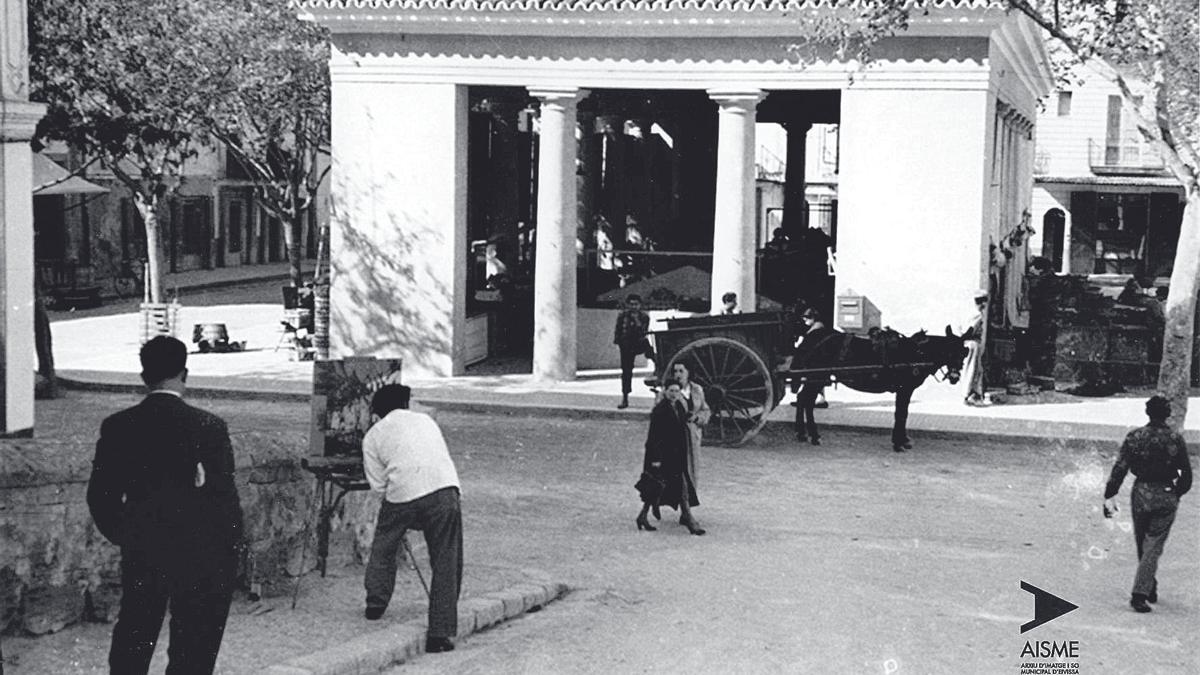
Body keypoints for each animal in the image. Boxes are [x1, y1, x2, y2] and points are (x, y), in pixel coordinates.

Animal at [792, 324, 969, 449]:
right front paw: (898, 442)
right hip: (817, 377)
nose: (955, 377)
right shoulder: (904, 389)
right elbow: (901, 414)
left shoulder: (906, 390)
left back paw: (802, 434)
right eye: (950, 352)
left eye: (964, 353)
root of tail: (817, 336)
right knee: (807, 401)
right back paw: (814, 435)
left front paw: (902, 440)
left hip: (815, 378)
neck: (917, 353)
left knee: (802, 399)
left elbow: (903, 413)